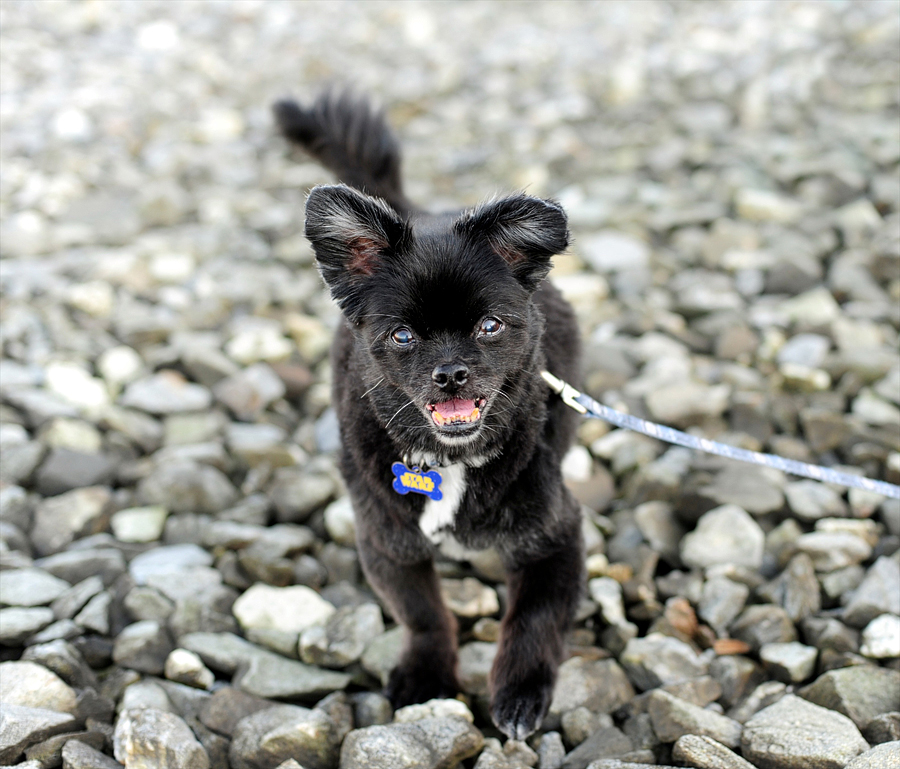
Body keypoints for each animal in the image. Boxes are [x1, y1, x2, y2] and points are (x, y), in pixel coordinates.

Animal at [274, 93, 584, 740]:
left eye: (489, 326)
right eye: (403, 336)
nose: (450, 373)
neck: (452, 461)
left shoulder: (556, 538)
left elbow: (534, 621)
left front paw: (520, 692)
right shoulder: (389, 544)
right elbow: (423, 615)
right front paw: (427, 674)